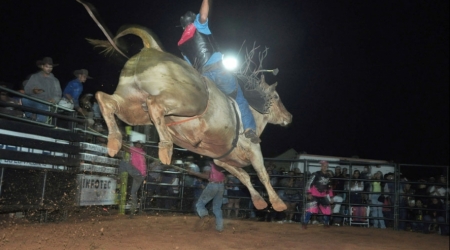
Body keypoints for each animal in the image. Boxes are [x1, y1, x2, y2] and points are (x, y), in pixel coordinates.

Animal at [78, 0, 292, 211]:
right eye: (276, 96)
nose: (289, 117)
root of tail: (152, 47)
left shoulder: (221, 159)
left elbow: (245, 177)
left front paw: (259, 201)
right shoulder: (253, 150)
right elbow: (262, 174)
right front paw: (278, 203)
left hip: (132, 105)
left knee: (105, 100)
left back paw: (114, 141)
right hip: (188, 101)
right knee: (154, 104)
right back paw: (165, 148)